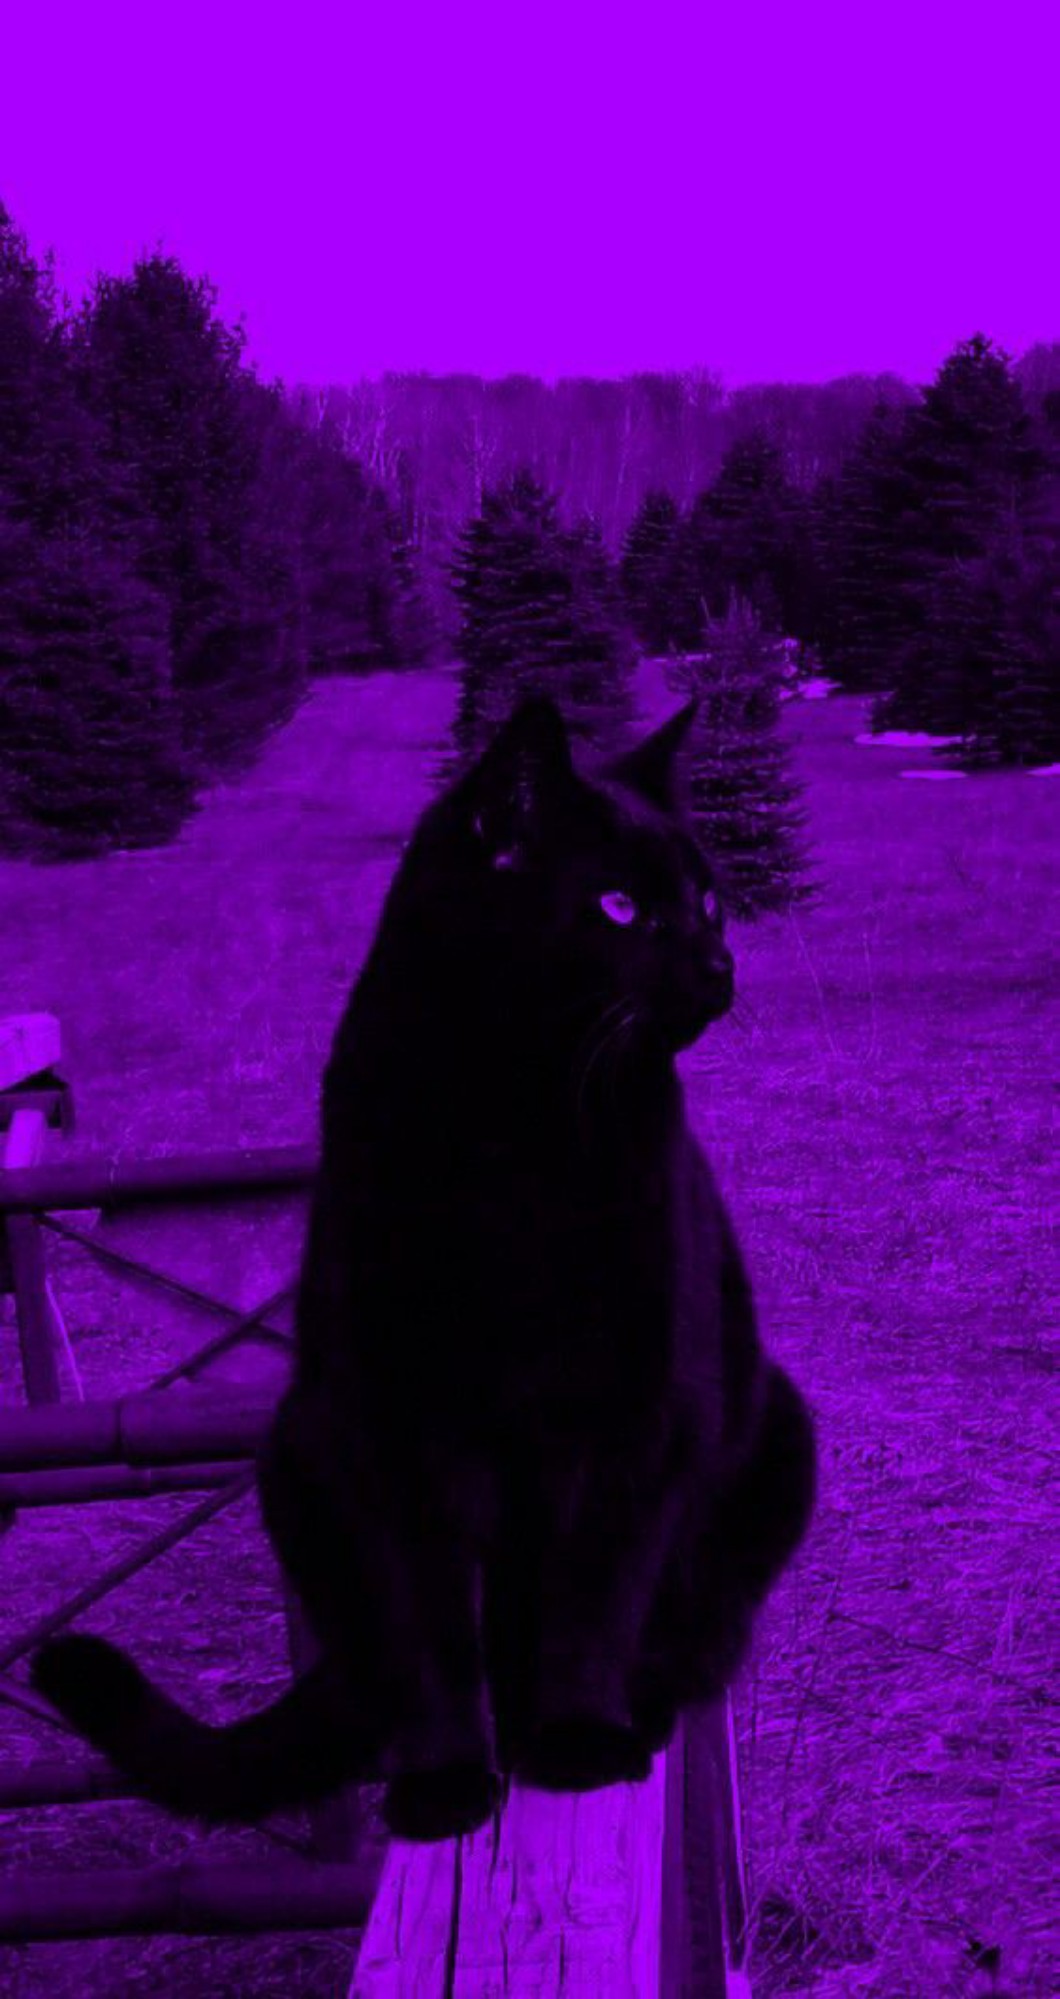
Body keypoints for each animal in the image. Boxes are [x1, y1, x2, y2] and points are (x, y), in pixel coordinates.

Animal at [33, 694, 816, 1843]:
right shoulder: (382, 1419)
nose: (721, 965)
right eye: (621, 905)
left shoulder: (639, 1400)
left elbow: (597, 1587)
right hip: (294, 1453)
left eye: (709, 900)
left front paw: (578, 1739)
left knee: (681, 1621)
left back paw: (622, 1703)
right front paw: (445, 1781)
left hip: (776, 1437)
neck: (519, 1128)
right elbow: (425, 1620)